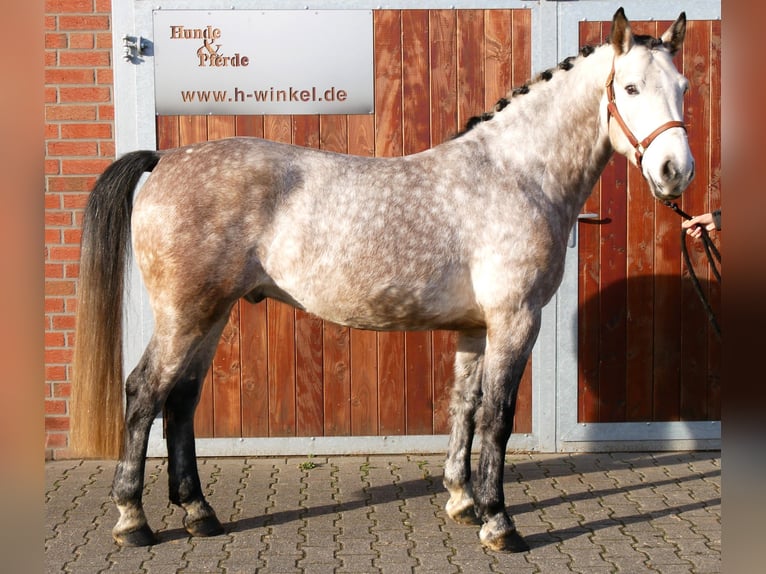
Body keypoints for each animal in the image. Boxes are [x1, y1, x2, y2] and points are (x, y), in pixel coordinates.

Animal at [70, 8, 693, 552]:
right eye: (630, 88)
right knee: (143, 392)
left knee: (181, 399)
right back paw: (133, 519)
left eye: (683, 86)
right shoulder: (515, 321)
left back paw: (199, 512)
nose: (675, 172)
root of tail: (164, 159)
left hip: (212, 314)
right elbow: (497, 418)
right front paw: (499, 523)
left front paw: (462, 502)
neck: (515, 174)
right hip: (185, 315)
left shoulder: (476, 328)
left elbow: (464, 407)